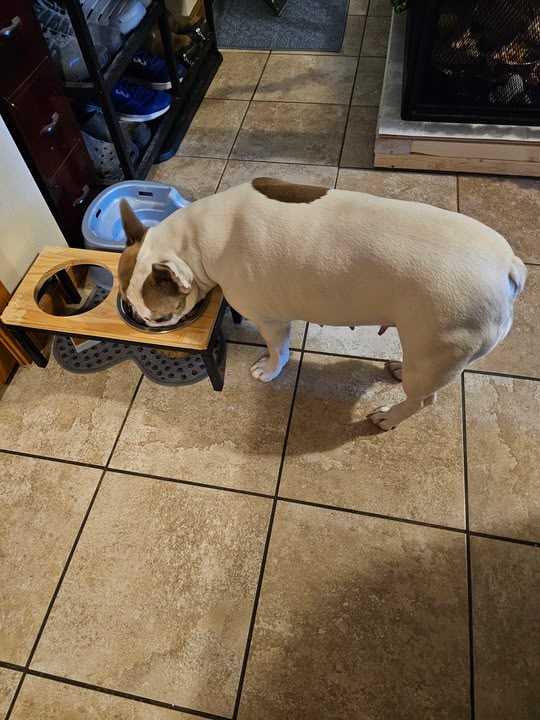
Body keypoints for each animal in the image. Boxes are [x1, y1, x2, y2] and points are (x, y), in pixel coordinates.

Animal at [118, 177, 527, 430]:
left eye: (159, 318)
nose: (141, 322)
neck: (193, 241)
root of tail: (508, 266)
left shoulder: (272, 320)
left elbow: (277, 350)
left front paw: (269, 370)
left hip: (435, 351)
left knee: (423, 400)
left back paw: (390, 417)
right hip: (427, 354)